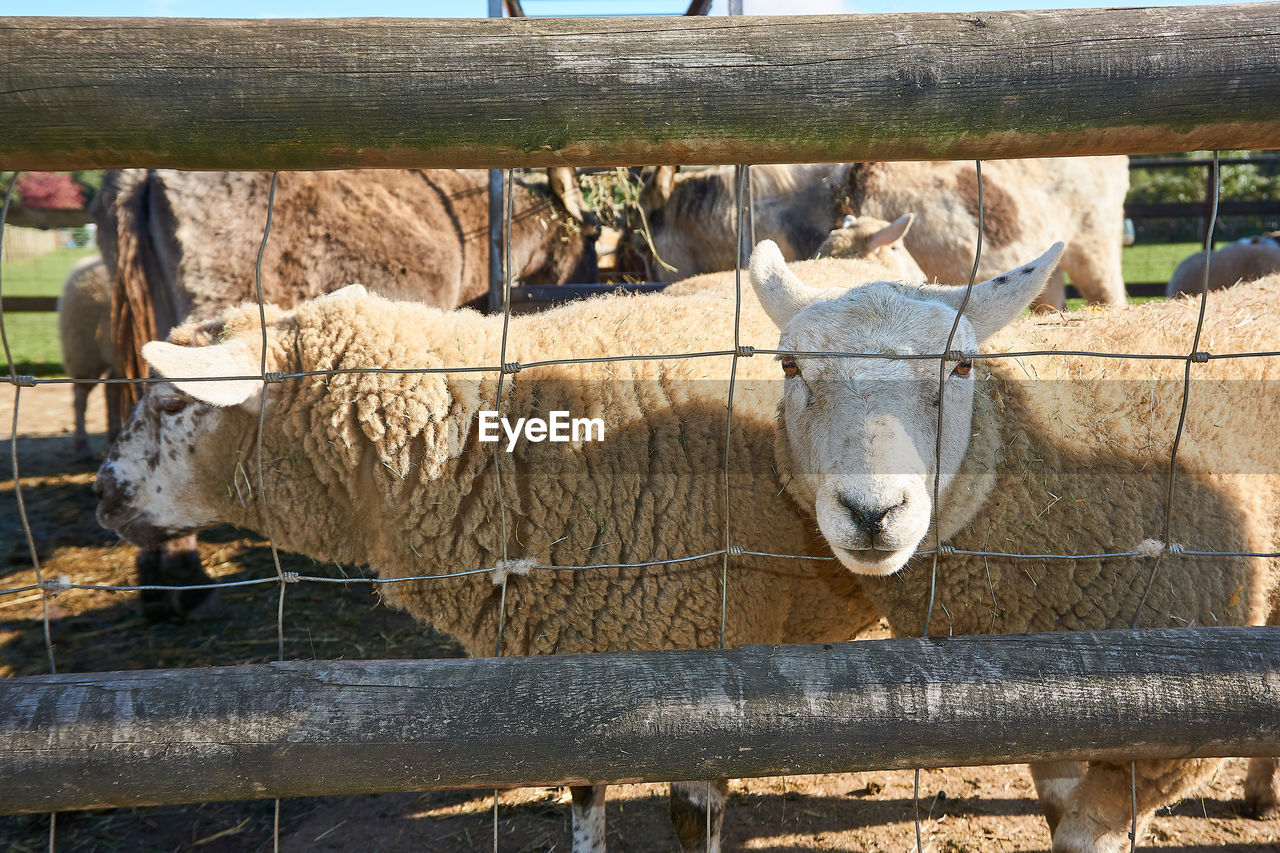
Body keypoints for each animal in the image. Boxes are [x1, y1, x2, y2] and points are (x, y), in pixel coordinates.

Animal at [94, 280, 885, 850]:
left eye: (172, 403)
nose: (103, 491)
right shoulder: (567, 670)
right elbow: (584, 797)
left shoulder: (711, 678)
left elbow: (695, 823)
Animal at [747, 239, 1280, 850]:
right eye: (790, 365)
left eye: (962, 366)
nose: (871, 512)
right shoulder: (1035, 705)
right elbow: (1056, 801)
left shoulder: (1172, 734)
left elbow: (1083, 833)